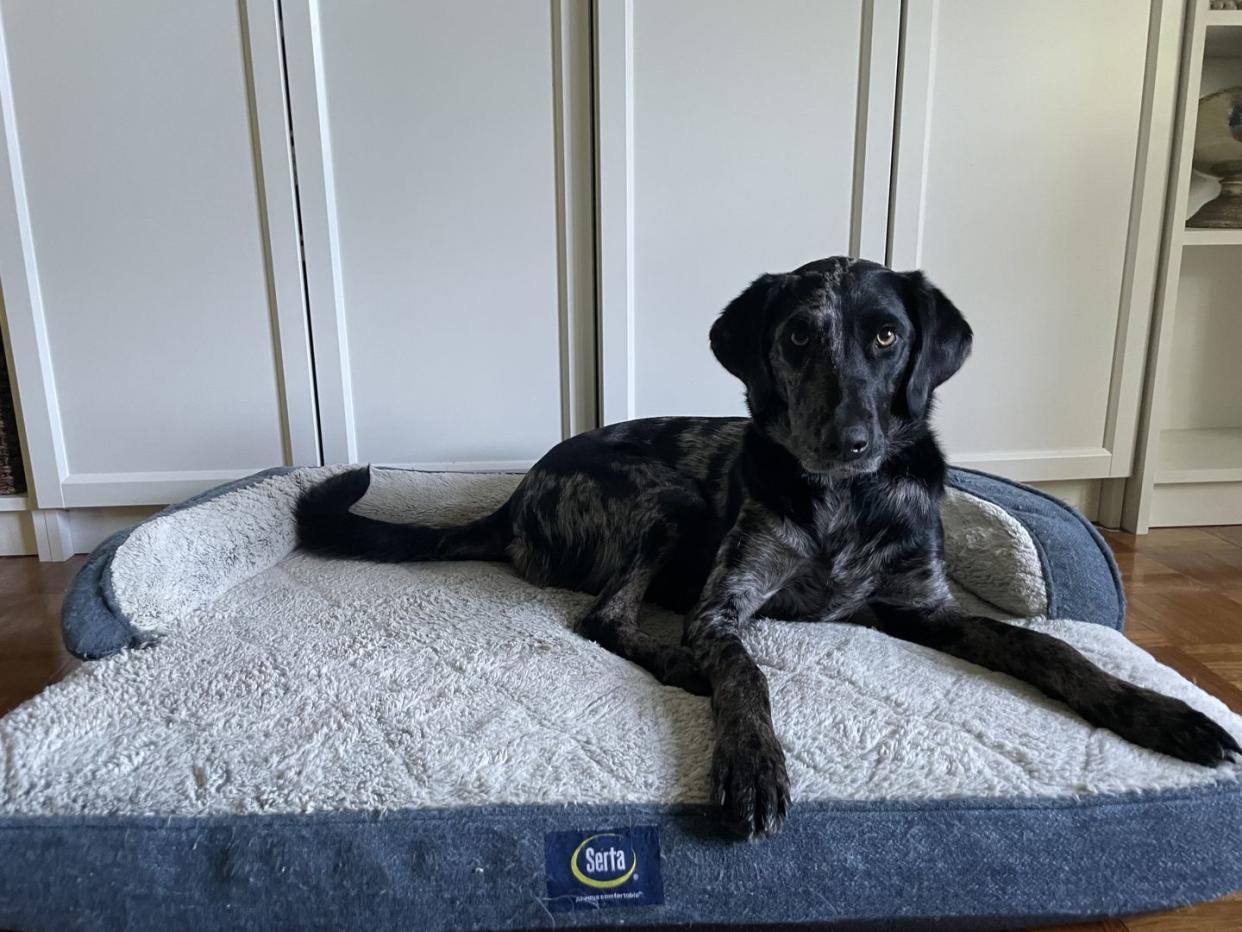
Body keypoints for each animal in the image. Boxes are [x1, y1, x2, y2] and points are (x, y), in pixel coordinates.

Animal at [295, 259, 1237, 845]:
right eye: (796, 338)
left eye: (887, 336)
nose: (849, 440)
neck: (846, 502)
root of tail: (516, 496)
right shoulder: (724, 605)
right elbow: (746, 676)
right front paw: (750, 764)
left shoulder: (925, 609)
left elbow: (1047, 648)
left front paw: (1161, 712)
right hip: (664, 505)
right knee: (603, 619)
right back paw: (680, 664)